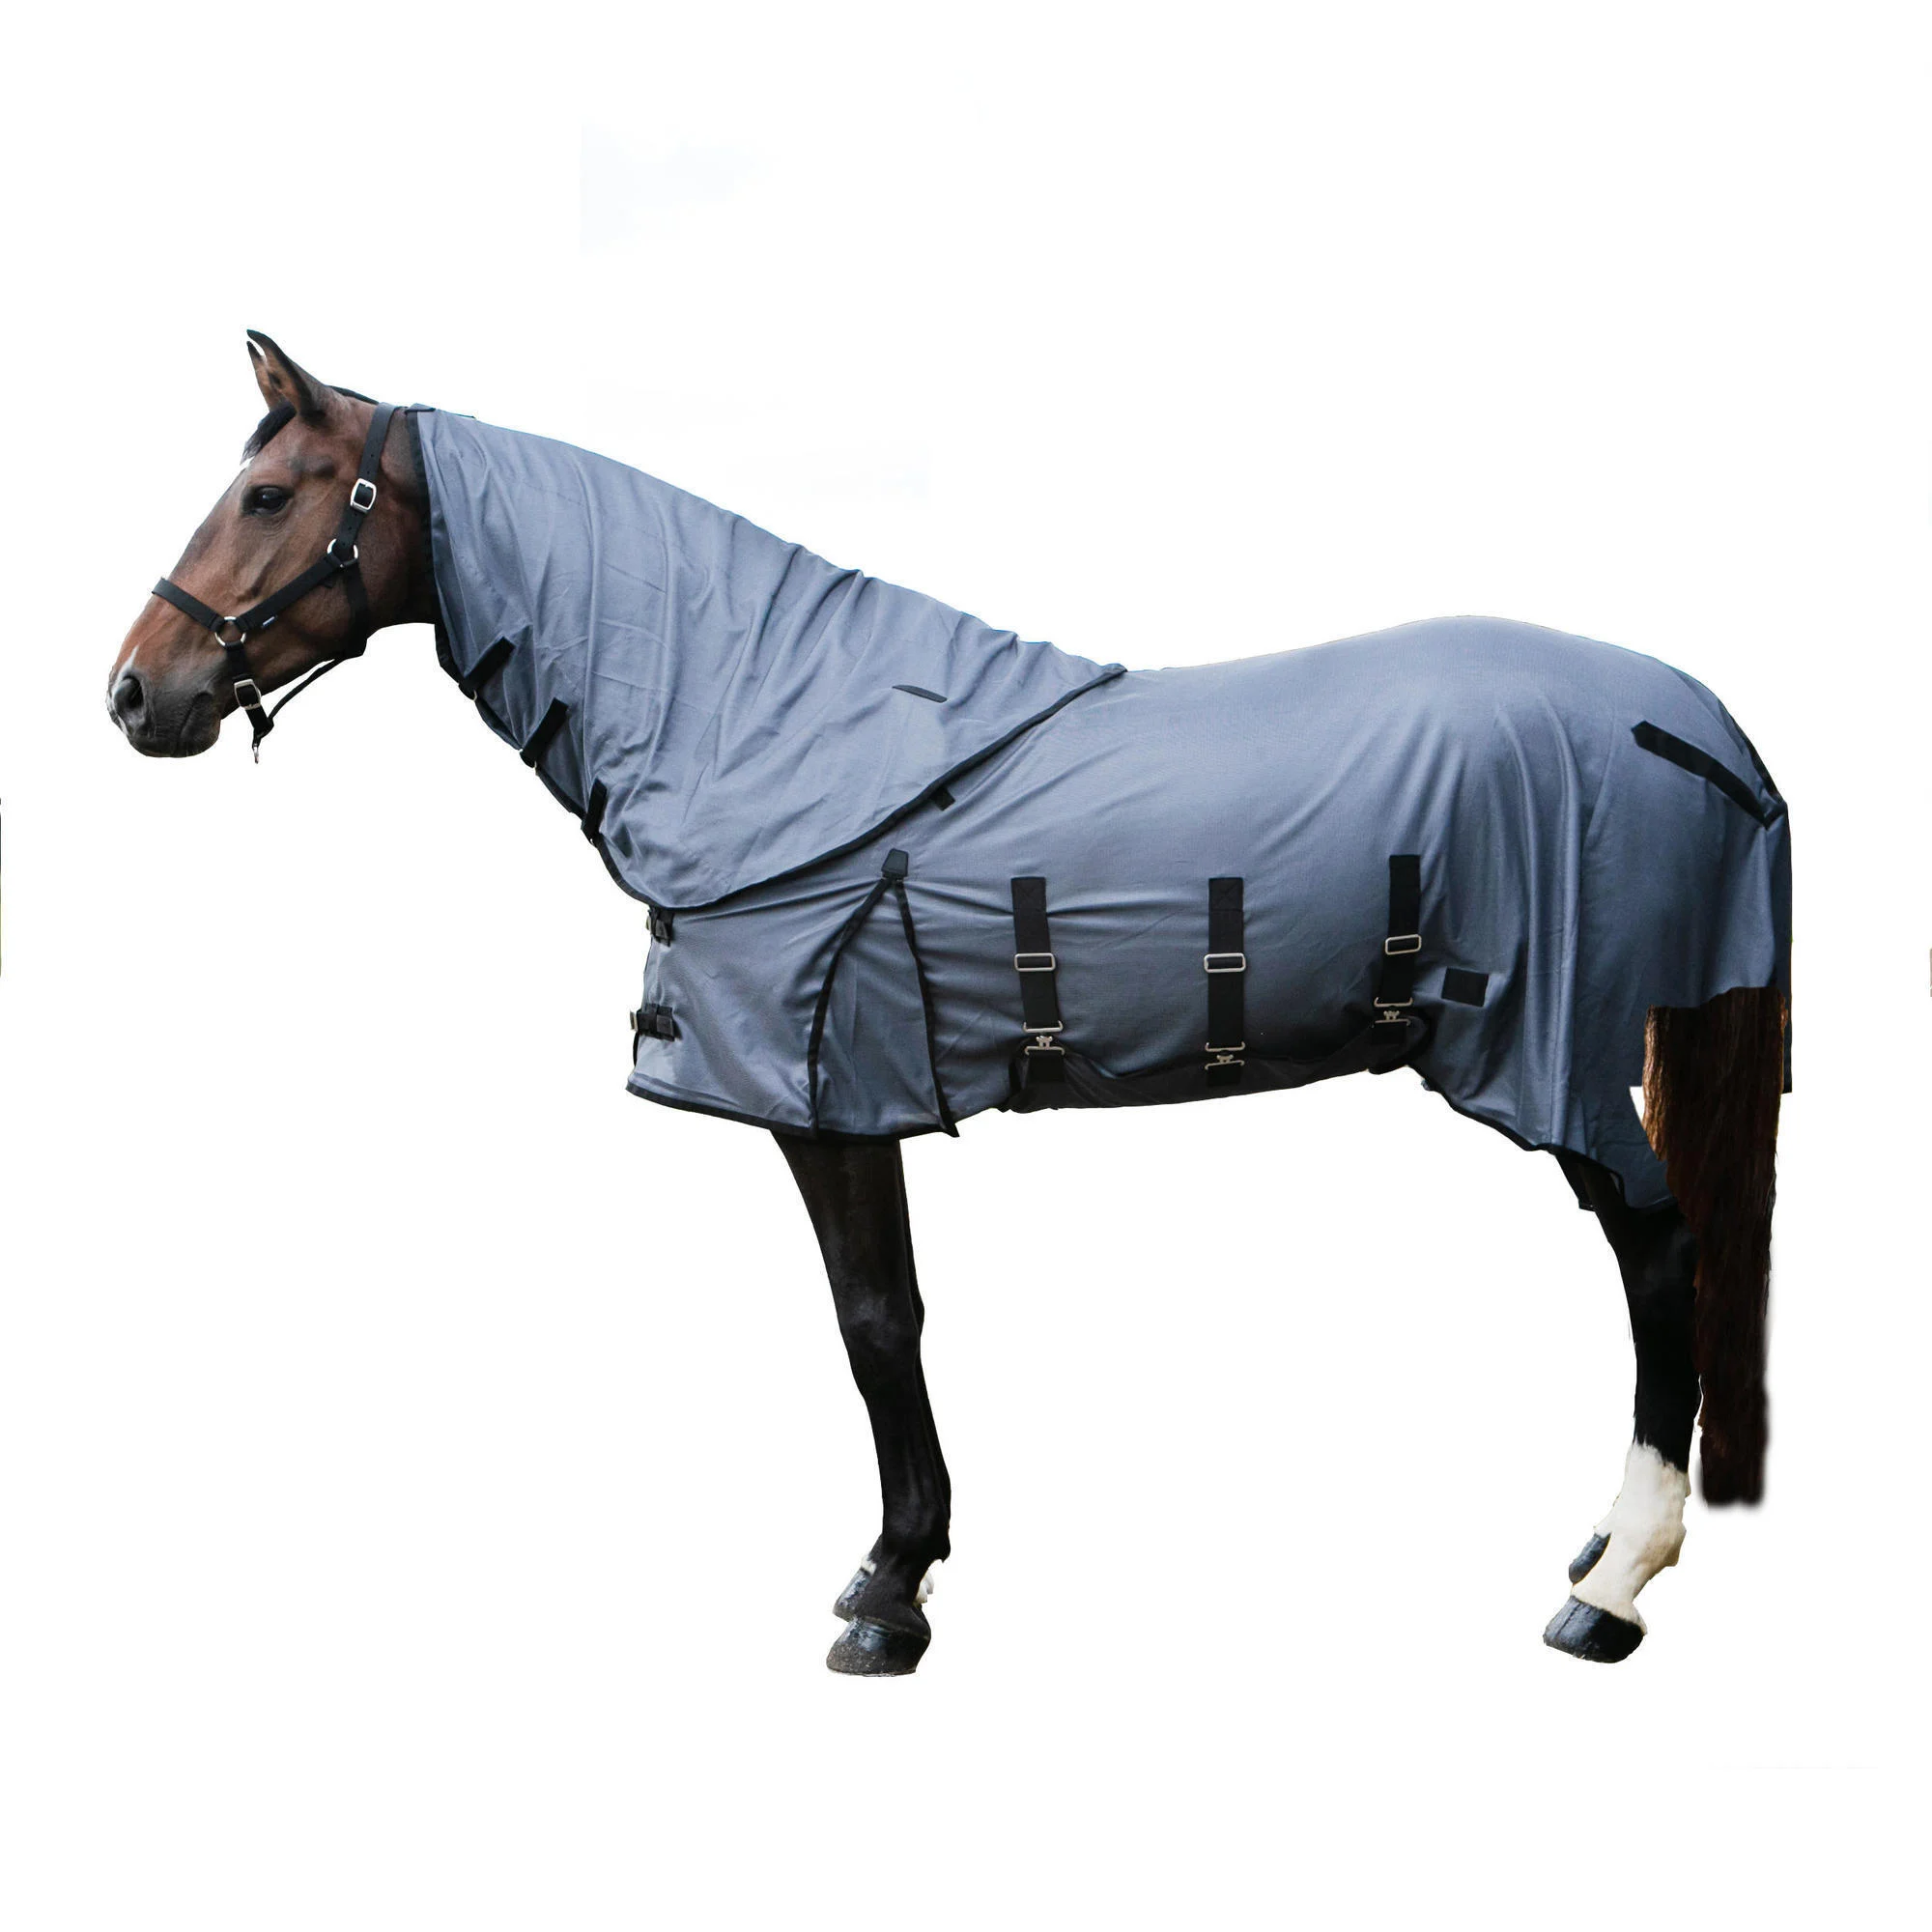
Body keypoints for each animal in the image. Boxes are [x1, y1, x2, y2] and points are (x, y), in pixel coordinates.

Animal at [108, 332, 1789, 1676]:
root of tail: (1697, 717)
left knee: (1661, 1254)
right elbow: (889, 1320)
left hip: (1552, 1054)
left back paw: (1613, 1588)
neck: (756, 721)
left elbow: (874, 1325)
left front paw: (889, 1594)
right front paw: (901, 1570)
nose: (134, 692)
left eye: (273, 496)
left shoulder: (826, 1094)